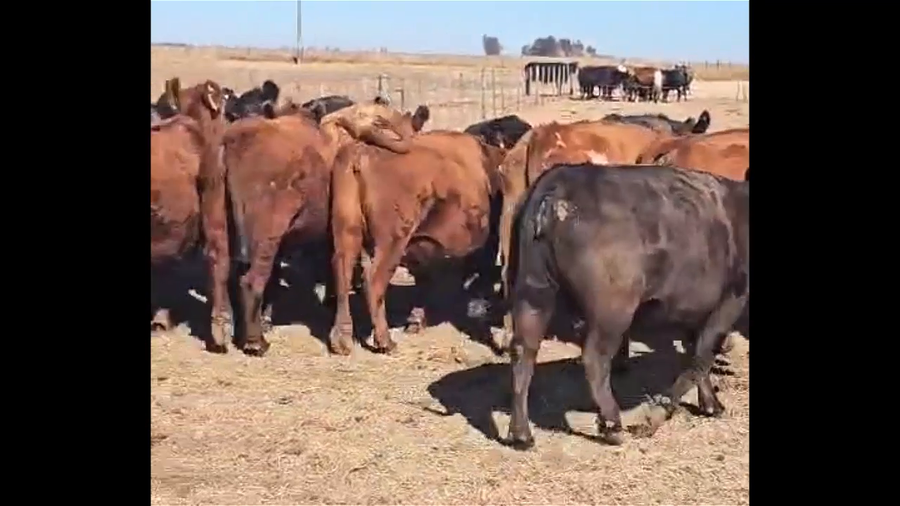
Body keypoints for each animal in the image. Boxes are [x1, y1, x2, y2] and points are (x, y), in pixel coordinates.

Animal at [328, 130, 507, 355]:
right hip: (392, 241)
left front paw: (415, 321)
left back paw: (341, 341)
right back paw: (385, 341)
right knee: (374, 279)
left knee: (343, 272)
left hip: (348, 232)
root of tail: (362, 150)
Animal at [503, 163, 749, 449]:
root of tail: (557, 184)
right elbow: (702, 357)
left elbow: (697, 354)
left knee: (524, 351)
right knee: (595, 358)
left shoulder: (696, 310)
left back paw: (521, 434)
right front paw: (658, 414)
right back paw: (612, 424)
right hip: (613, 311)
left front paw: (710, 403)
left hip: (533, 292)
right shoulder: (731, 300)